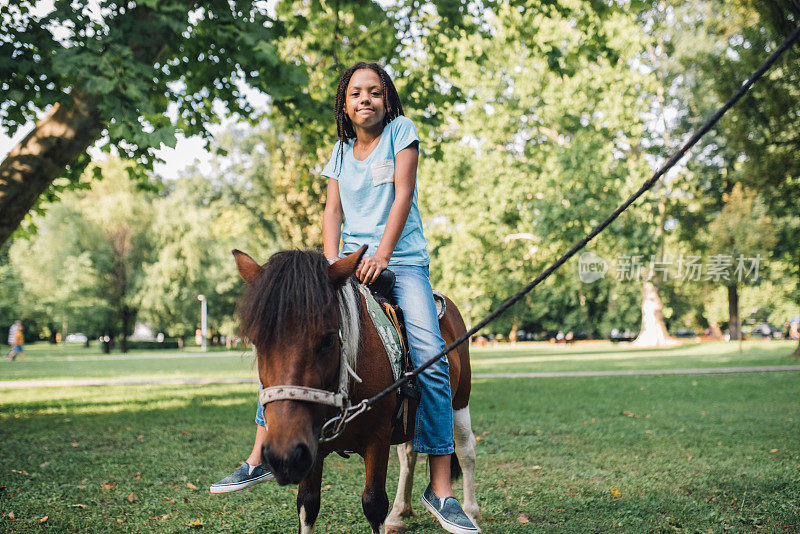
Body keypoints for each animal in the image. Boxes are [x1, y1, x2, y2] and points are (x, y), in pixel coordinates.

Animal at [234, 247, 478, 534]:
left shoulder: (378, 439)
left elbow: (374, 503)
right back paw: (400, 512)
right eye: (256, 340)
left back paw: (467, 512)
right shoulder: (312, 446)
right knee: (408, 455)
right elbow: (307, 503)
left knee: (464, 450)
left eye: (329, 338)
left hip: (460, 401)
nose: (285, 456)